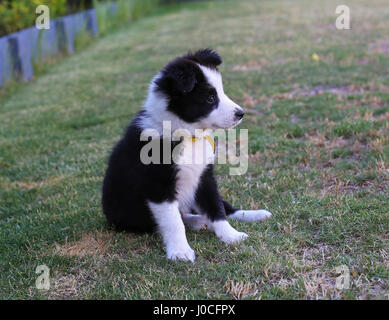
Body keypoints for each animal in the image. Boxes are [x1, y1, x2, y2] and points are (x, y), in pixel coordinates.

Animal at [101, 48, 272, 262]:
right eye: (210, 98)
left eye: (221, 91)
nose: (240, 113)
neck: (188, 135)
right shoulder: (159, 185)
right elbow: (173, 221)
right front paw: (180, 251)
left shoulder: (204, 176)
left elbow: (216, 208)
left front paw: (230, 235)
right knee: (179, 216)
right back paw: (197, 221)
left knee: (224, 208)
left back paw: (254, 214)